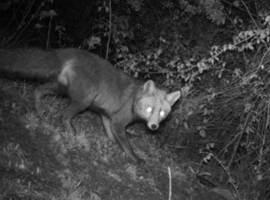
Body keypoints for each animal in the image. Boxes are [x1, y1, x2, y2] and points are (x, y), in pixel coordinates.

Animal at [0, 47, 181, 163]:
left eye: (162, 113)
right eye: (149, 108)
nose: (154, 126)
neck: (133, 101)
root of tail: (68, 51)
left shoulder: (107, 116)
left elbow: (110, 135)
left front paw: (112, 144)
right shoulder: (118, 122)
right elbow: (127, 145)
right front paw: (135, 159)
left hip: (60, 89)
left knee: (38, 90)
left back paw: (40, 112)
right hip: (83, 100)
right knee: (63, 115)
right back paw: (71, 133)